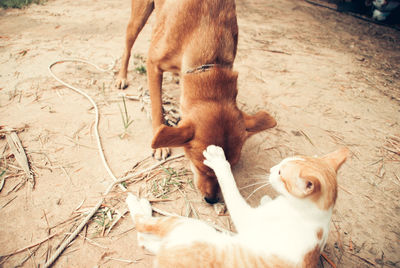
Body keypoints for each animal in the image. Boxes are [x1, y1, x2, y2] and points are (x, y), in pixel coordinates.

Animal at [115, 0, 276, 203]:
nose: (212, 199)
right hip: (138, 17)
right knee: (127, 46)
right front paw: (162, 145)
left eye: (230, 168)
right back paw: (122, 77)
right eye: (201, 167)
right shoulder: (153, 64)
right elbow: (157, 107)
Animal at [126, 146, 348, 266]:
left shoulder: (247, 218)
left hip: (190, 227)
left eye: (280, 173)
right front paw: (266, 199)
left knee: (144, 226)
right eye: (280, 166)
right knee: (146, 241)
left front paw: (218, 161)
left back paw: (137, 204)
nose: (272, 169)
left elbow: (230, 186)